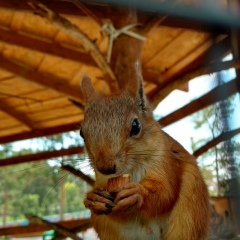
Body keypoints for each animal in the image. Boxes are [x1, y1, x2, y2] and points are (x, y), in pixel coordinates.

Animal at [79, 64, 209, 239]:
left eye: (136, 126)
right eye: (81, 133)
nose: (106, 168)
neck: (131, 169)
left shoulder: (166, 162)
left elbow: (165, 193)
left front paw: (137, 193)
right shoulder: (102, 180)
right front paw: (94, 198)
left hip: (189, 217)